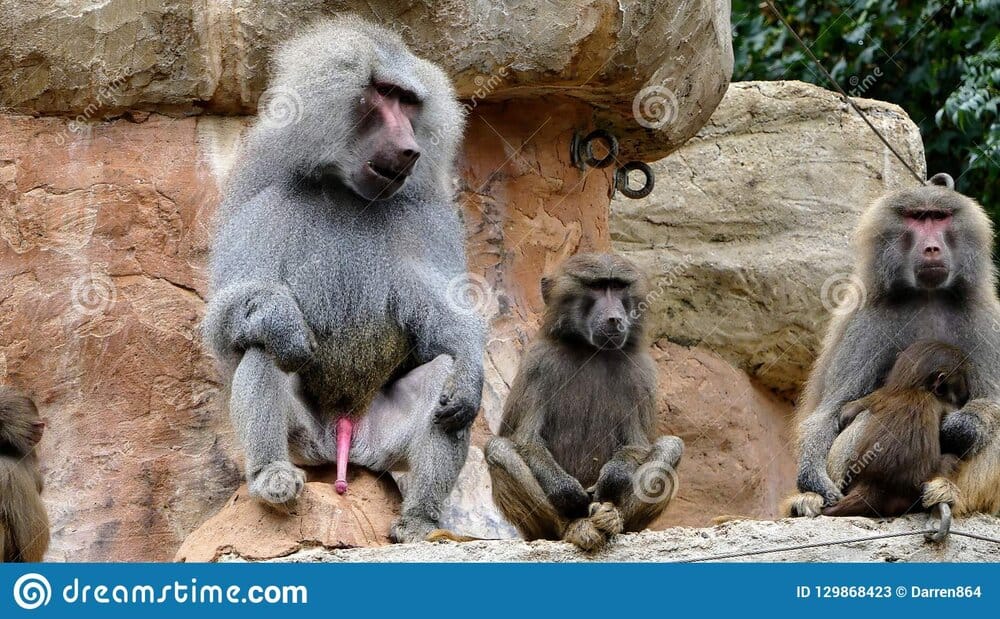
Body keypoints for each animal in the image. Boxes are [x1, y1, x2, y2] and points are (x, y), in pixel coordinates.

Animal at [202, 17, 484, 543]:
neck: (346, 192)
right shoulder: (264, 202)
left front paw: (471, 370)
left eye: (410, 102)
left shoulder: (426, 220)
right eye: (385, 94)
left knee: (445, 378)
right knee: (264, 344)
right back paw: (270, 476)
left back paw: (421, 518)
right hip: (305, 442)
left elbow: (445, 319)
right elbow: (226, 315)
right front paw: (279, 320)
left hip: (381, 444)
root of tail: (343, 440)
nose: (412, 149)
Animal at [485, 253, 684, 551]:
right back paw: (573, 526)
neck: (592, 351)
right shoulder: (538, 363)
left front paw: (612, 479)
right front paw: (568, 492)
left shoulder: (641, 373)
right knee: (498, 449)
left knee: (671, 446)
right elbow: (526, 440)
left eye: (618, 286)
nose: (615, 319)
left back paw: (613, 519)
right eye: (597, 287)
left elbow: (637, 444)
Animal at [820, 340, 968, 517]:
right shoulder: (937, 404)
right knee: (950, 460)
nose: (966, 391)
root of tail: (872, 485)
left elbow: (847, 413)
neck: (909, 388)